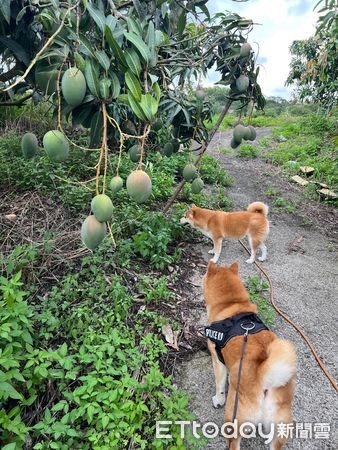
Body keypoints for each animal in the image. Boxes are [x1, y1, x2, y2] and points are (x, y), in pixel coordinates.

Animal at [203, 260, 296, 450]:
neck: (231, 305)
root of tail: (267, 383)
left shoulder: (217, 360)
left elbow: (219, 384)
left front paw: (218, 399)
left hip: (234, 418)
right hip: (278, 428)